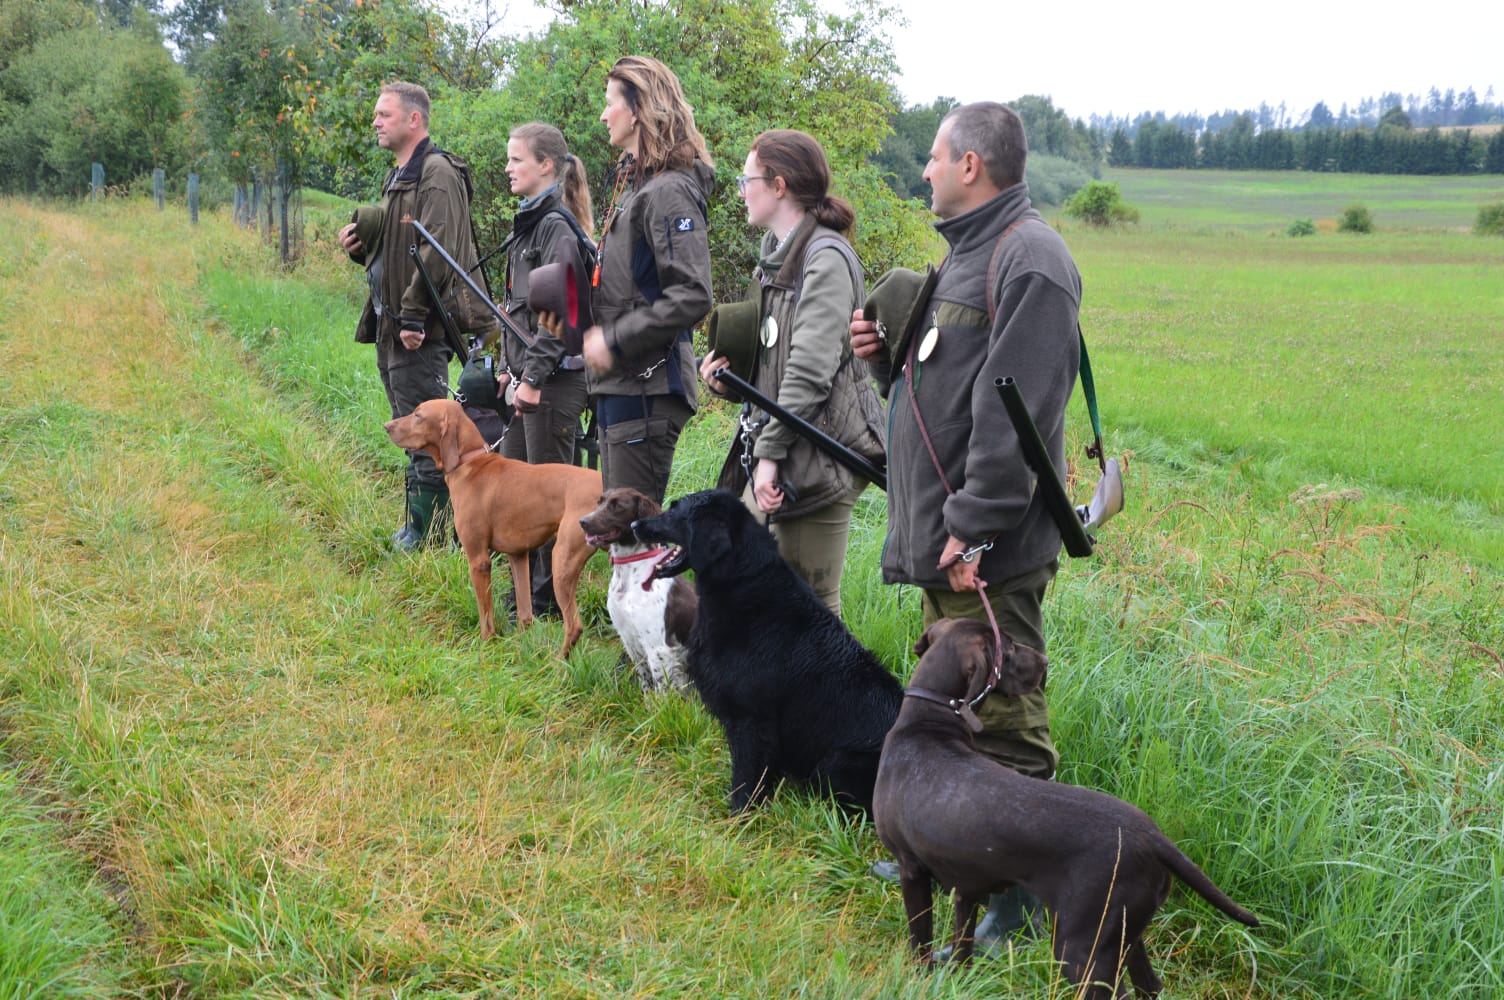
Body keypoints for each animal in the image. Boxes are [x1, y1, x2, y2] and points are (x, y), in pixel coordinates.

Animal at [384, 398, 602, 657]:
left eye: (418, 415)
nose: (387, 425)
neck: (469, 460)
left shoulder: (479, 560)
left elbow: (485, 614)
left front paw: (486, 646)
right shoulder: (518, 555)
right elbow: (525, 612)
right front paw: (520, 647)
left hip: (562, 560)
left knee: (574, 625)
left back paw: (558, 662)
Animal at [578, 487, 697, 693]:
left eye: (617, 506)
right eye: (599, 502)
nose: (583, 522)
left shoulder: (657, 647)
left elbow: (661, 689)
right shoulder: (629, 639)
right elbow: (646, 681)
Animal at [632, 489, 902, 814]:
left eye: (674, 511)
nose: (634, 524)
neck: (745, 590)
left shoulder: (752, 720)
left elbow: (746, 778)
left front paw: (738, 818)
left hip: (837, 762)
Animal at [873, 618, 1259, 998]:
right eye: (1007, 648)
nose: (1045, 661)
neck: (924, 726)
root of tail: (1152, 837)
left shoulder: (911, 869)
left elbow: (920, 941)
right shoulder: (966, 886)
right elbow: (962, 947)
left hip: (1080, 948)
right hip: (1123, 934)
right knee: (1150, 986)